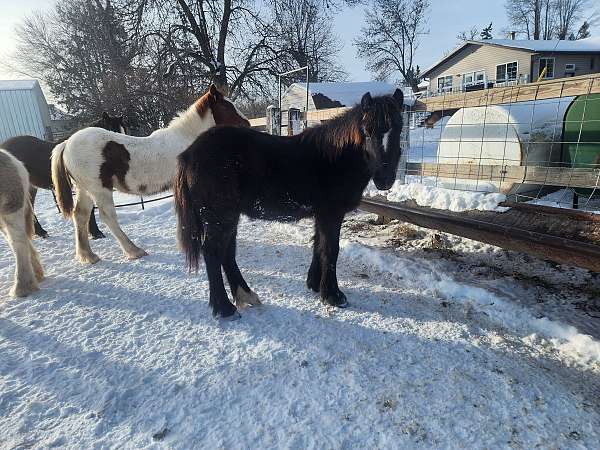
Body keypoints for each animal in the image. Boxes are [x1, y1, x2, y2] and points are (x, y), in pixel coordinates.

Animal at [51, 84, 248, 264]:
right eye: (226, 107)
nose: (246, 125)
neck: (186, 139)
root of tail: (67, 143)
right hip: (100, 190)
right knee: (107, 217)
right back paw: (134, 251)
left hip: (85, 190)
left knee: (80, 215)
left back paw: (88, 256)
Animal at [176, 89, 406, 320]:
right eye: (367, 131)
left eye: (399, 128)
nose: (385, 179)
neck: (336, 156)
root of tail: (189, 153)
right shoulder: (331, 214)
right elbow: (331, 249)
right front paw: (333, 295)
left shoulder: (321, 214)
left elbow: (318, 245)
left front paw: (315, 284)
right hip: (220, 216)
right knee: (213, 252)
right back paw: (224, 308)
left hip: (229, 217)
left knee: (227, 253)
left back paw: (245, 295)